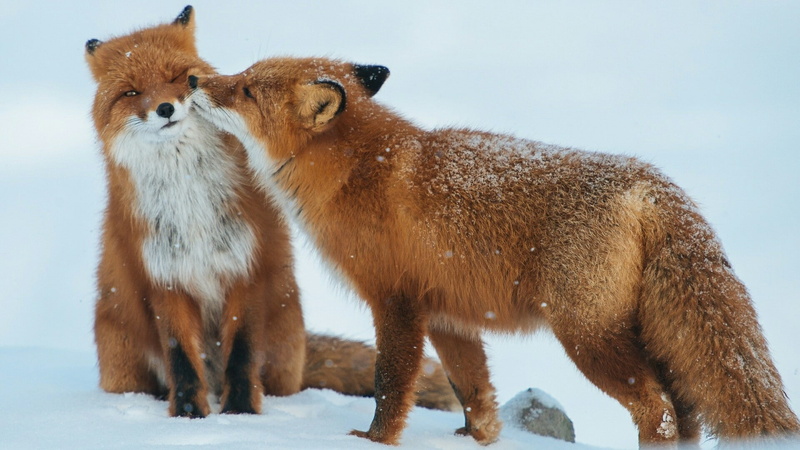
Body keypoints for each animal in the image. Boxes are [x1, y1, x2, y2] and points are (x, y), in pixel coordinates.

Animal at [84, 6, 458, 419]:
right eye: (131, 92)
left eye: (176, 77)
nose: (165, 108)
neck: (190, 201)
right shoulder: (165, 279)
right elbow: (181, 359)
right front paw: (190, 417)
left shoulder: (248, 266)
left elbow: (242, 353)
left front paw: (241, 415)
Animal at [189, 56, 800, 446]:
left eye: (246, 89)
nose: (195, 79)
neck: (356, 171)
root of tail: (650, 183)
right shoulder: (448, 315)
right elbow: (473, 391)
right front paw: (476, 438)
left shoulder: (396, 302)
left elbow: (392, 386)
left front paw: (373, 440)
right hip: (640, 335)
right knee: (686, 409)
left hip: (588, 337)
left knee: (662, 411)